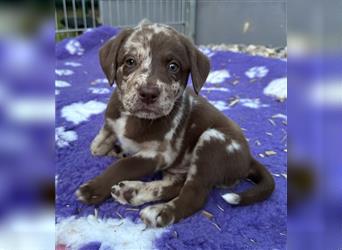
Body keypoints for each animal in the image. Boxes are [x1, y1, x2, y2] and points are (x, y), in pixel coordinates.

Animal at [75, 21, 276, 228]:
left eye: (173, 66)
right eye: (130, 61)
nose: (148, 93)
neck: (135, 118)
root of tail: (248, 159)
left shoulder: (160, 154)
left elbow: (123, 166)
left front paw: (93, 188)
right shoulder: (112, 124)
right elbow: (97, 145)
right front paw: (112, 148)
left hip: (211, 142)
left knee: (193, 194)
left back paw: (160, 212)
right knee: (176, 185)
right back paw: (131, 192)